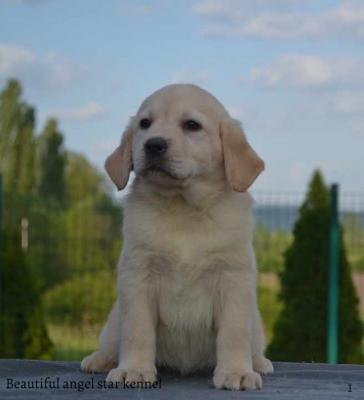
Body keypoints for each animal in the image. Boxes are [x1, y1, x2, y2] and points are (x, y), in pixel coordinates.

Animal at [80, 85, 272, 390]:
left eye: (191, 125)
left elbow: (234, 333)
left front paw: (236, 372)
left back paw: (259, 363)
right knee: (112, 343)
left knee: (253, 345)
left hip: (257, 323)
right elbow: (136, 331)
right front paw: (133, 370)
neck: (183, 208)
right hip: (113, 320)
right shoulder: (138, 276)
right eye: (145, 124)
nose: (153, 145)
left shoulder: (233, 279)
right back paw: (99, 360)